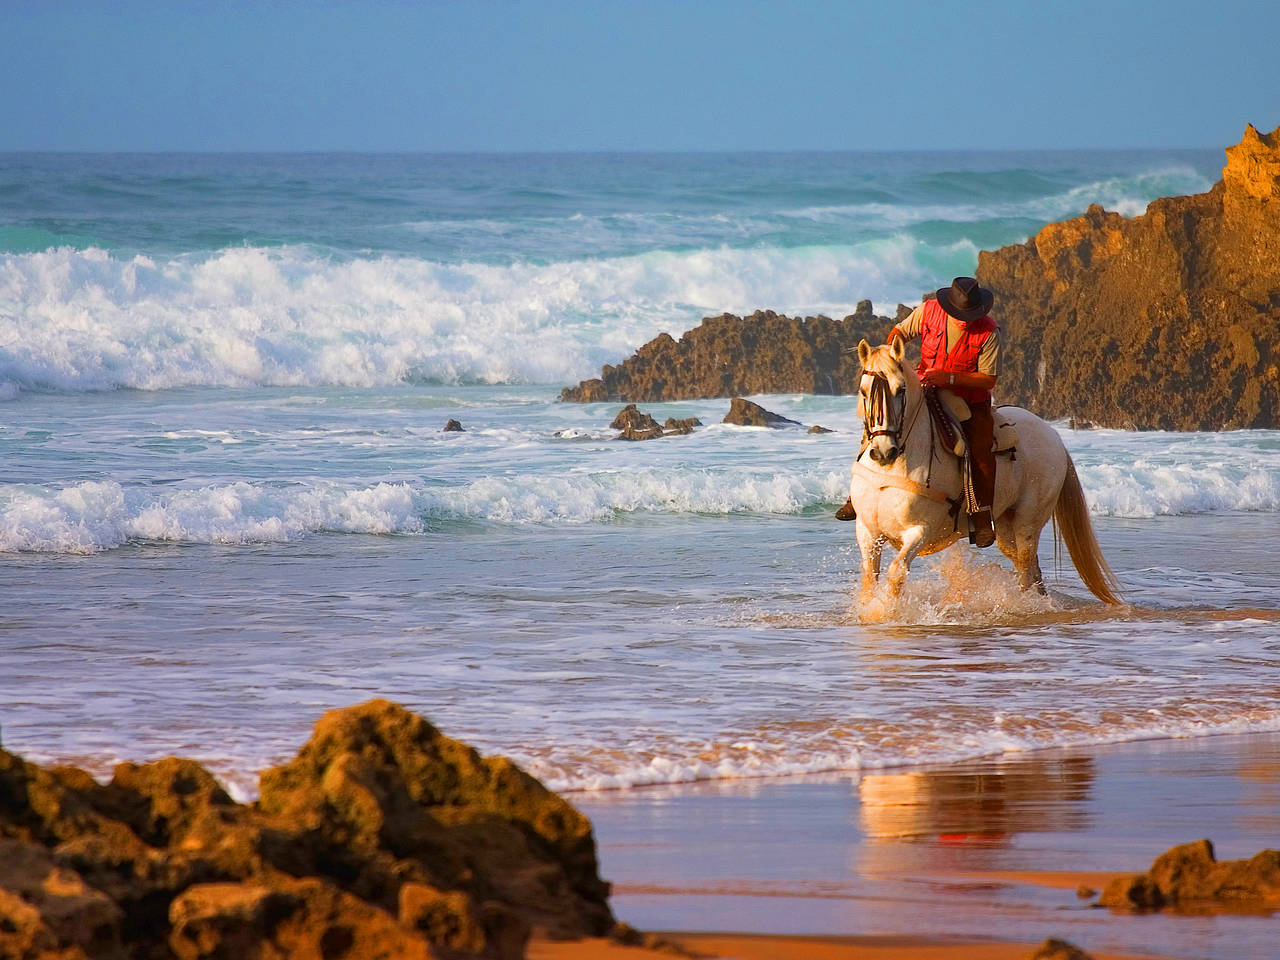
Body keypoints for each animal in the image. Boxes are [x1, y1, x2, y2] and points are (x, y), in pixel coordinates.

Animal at [849, 337, 1121, 609]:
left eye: (901, 390)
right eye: (863, 391)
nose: (884, 452)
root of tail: (1055, 436)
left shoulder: (920, 530)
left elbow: (896, 572)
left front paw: (887, 612)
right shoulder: (868, 531)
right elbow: (869, 577)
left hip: (1028, 520)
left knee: (1025, 566)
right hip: (1004, 525)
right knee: (1030, 568)